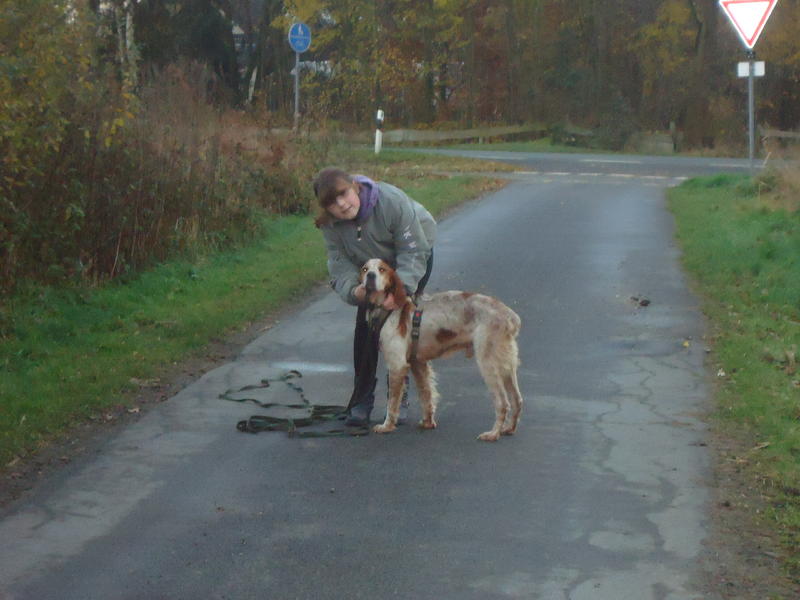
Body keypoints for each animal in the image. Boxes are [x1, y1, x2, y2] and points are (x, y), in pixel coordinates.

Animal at [358, 258, 520, 440]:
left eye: (382, 269)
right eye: (365, 269)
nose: (371, 276)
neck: (390, 310)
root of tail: (509, 316)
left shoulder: (397, 365)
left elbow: (392, 402)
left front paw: (387, 426)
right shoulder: (417, 363)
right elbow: (426, 394)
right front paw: (428, 422)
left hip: (489, 364)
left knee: (503, 402)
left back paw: (493, 434)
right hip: (507, 366)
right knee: (517, 400)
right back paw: (508, 428)